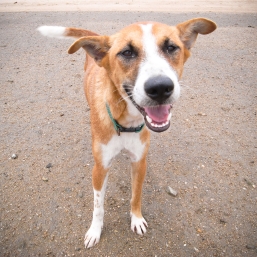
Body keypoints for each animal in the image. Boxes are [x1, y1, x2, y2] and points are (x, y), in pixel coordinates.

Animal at [36, 17, 216, 246]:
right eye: (127, 52)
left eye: (171, 47)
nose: (160, 88)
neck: (125, 122)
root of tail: (100, 37)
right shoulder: (100, 168)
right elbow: (98, 206)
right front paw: (95, 230)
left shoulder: (139, 162)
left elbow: (136, 195)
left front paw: (136, 219)